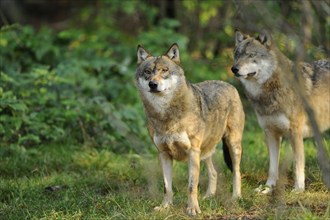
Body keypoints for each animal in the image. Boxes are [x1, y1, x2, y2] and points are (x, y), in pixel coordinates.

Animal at [135, 43, 245, 215]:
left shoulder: (192, 152)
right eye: (147, 72)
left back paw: (236, 197)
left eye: (164, 70)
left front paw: (192, 209)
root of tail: (228, 84)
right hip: (205, 152)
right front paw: (165, 207)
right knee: (214, 173)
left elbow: (192, 186)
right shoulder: (163, 154)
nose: (153, 84)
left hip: (232, 146)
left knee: (237, 172)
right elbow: (167, 187)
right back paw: (208, 197)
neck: (166, 115)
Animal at [232, 30, 330, 192]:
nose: (234, 69)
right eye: (237, 55)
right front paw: (268, 187)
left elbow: (298, 165)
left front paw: (298, 189)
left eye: (251, 55)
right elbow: (272, 167)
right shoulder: (271, 133)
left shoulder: (295, 133)